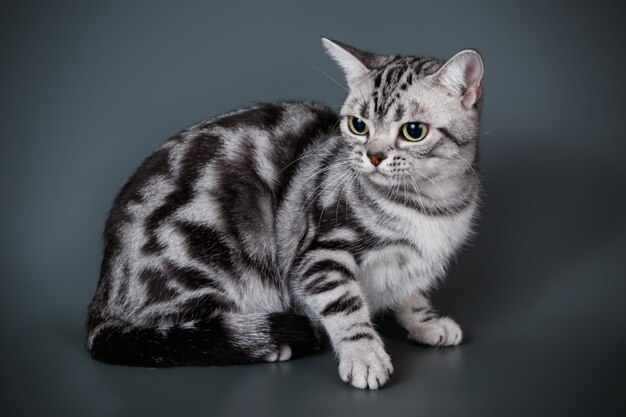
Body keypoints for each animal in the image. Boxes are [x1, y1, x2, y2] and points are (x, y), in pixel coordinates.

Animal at [85, 37, 482, 388]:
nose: (373, 155)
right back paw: (269, 343)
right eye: (359, 125)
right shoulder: (318, 255)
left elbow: (411, 295)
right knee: (179, 329)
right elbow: (345, 307)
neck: (431, 203)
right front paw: (365, 357)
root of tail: (102, 295)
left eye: (414, 131)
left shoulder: (413, 263)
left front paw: (427, 323)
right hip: (204, 257)